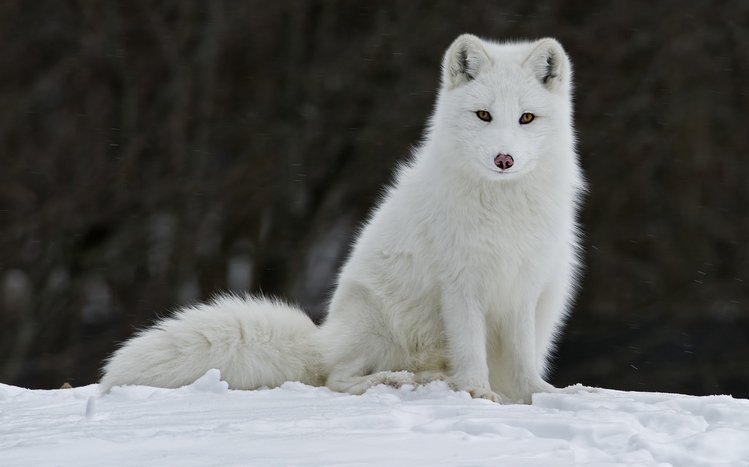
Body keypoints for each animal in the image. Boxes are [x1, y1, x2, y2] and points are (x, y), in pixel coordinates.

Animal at [100, 34, 585, 404]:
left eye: (526, 118)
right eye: (483, 115)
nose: (504, 159)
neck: (503, 208)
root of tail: (323, 338)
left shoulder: (523, 286)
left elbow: (522, 360)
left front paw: (538, 395)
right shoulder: (461, 286)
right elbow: (471, 351)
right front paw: (479, 394)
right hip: (375, 320)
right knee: (337, 378)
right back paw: (401, 380)